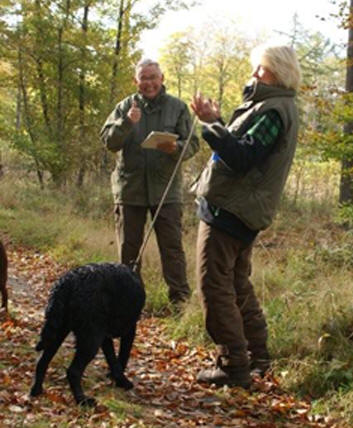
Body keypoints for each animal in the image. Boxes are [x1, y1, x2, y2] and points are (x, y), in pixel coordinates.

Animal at [29, 262, 144, 406]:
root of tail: (68, 281)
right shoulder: (128, 330)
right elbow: (123, 357)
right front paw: (122, 382)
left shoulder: (104, 337)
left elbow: (113, 359)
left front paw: (117, 378)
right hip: (90, 340)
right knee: (73, 371)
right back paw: (82, 400)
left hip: (59, 330)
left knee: (42, 362)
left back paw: (36, 390)